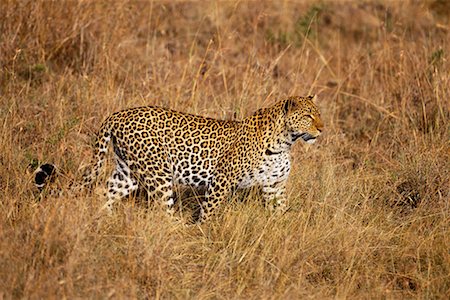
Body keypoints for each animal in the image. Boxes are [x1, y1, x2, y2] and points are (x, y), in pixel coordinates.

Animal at [36, 95, 324, 223]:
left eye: (318, 114)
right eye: (308, 116)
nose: (322, 128)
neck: (285, 141)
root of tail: (116, 115)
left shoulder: (275, 186)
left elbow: (280, 210)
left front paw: (285, 231)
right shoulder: (221, 180)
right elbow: (209, 211)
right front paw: (204, 234)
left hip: (127, 172)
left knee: (105, 192)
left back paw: (104, 221)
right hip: (158, 174)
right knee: (162, 210)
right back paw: (177, 232)